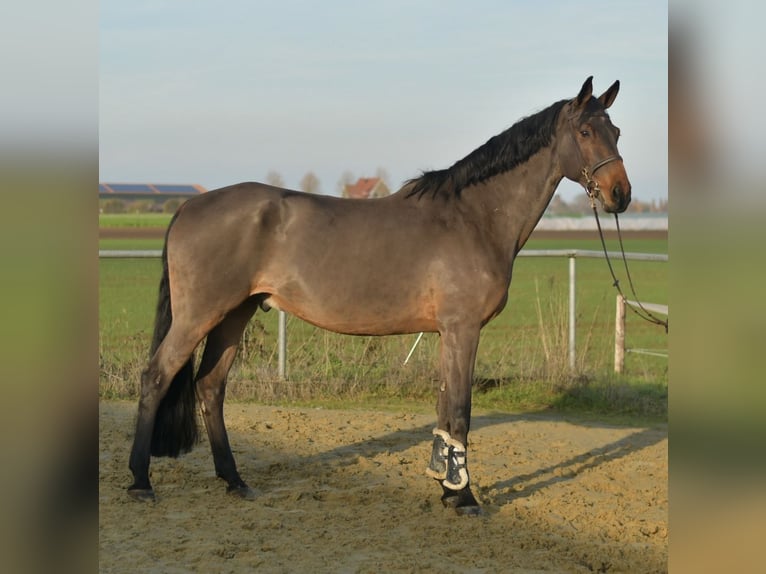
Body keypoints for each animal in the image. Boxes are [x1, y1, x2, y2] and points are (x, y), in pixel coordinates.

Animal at [128, 76, 630, 515]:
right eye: (585, 131)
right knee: (156, 376)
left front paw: (447, 488)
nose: (620, 194)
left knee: (210, 386)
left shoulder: (448, 333)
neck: (472, 217)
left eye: (617, 131)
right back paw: (140, 482)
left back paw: (235, 481)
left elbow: (445, 408)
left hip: (235, 314)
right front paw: (465, 498)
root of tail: (189, 205)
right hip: (199, 315)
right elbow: (461, 410)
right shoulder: (463, 329)